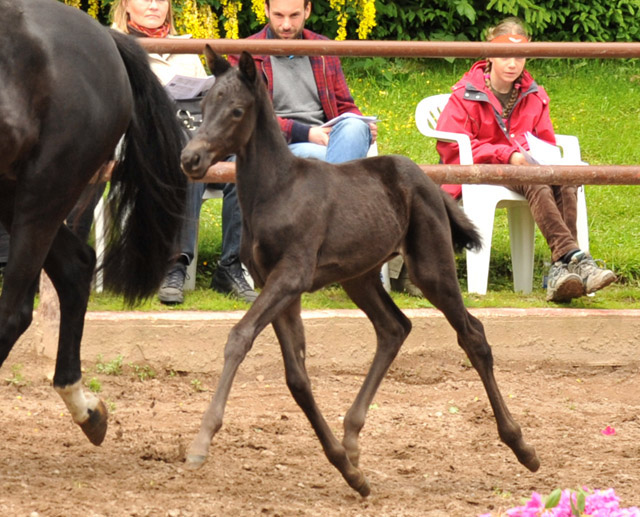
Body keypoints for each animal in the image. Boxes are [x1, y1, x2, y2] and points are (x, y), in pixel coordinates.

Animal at [0, 0, 186, 444]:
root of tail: (106, 38)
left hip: (44, 188)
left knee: (16, 309)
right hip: (16, 193)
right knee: (75, 267)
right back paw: (86, 409)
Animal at [181, 51, 540, 496]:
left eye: (236, 110)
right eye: (203, 106)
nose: (190, 159)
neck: (277, 192)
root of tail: (426, 180)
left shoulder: (292, 276)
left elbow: (240, 336)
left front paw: (201, 442)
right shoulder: (274, 285)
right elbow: (297, 377)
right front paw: (348, 470)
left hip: (431, 268)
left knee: (472, 334)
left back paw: (522, 447)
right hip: (360, 277)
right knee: (394, 327)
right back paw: (352, 438)